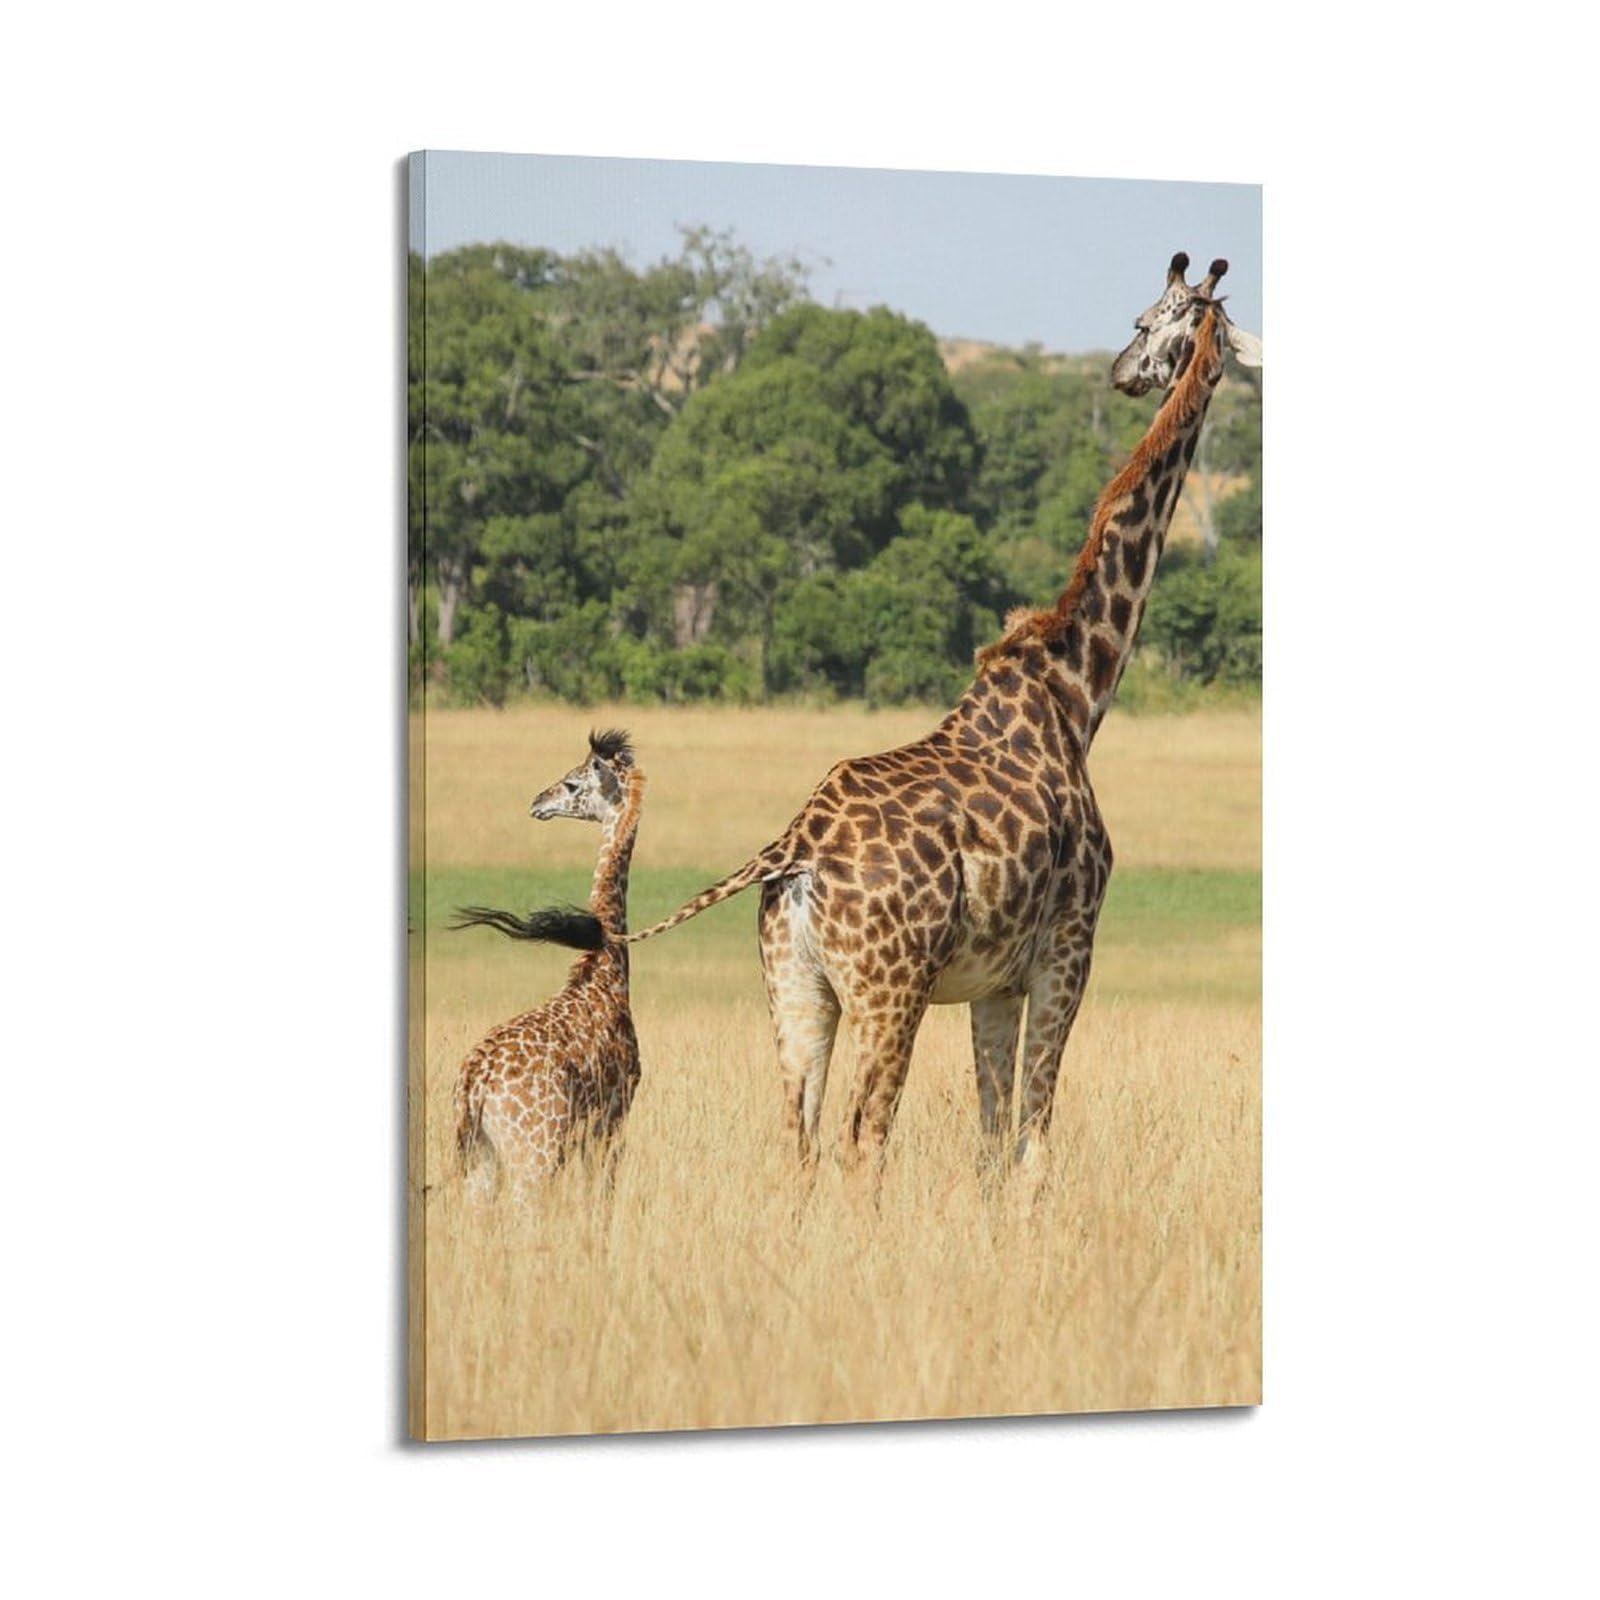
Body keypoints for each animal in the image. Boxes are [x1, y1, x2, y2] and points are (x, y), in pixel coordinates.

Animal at [448, 730, 644, 1203]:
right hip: (533, 1155)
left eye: (573, 784)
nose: (538, 801)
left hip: (482, 1159)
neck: (605, 970)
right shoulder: (614, 1114)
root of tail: (473, 1085)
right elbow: (601, 1198)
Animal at [533, 254, 1261, 1167]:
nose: (1126, 372)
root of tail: (792, 849)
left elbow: (991, 1140)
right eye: (1148, 319)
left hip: (796, 987)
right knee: (863, 1136)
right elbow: (1032, 1139)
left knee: (801, 1137)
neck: (1077, 692)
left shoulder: (995, 980)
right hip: (892, 989)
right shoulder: (1069, 947)